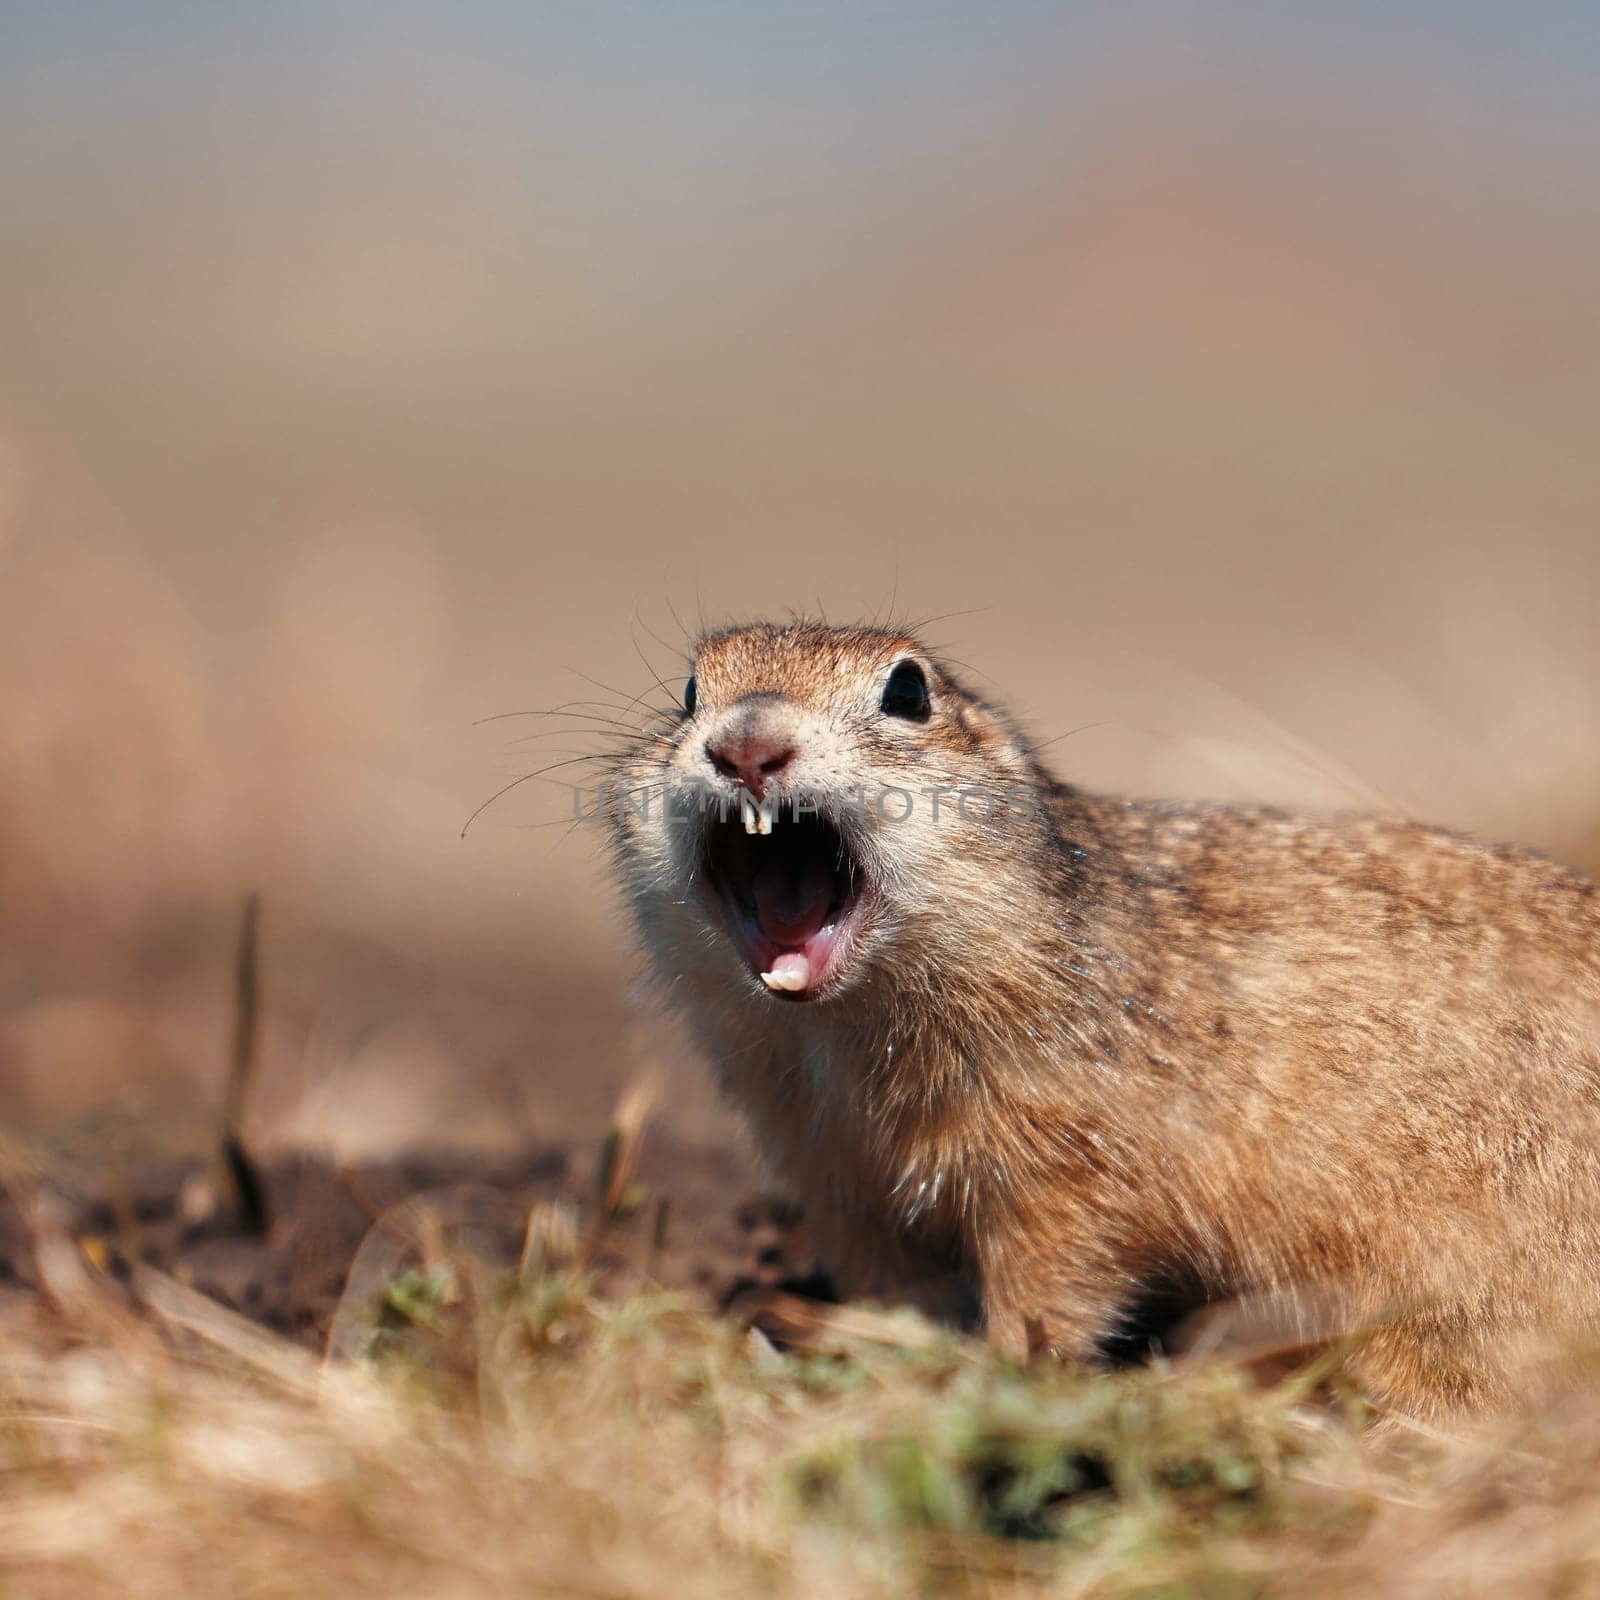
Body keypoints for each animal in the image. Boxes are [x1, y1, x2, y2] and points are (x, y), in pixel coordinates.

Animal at [601, 624, 1600, 1414]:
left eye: (908, 690)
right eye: (689, 691)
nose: (746, 746)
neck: (837, 1037)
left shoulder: (1064, 1156)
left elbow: (1057, 1274)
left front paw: (999, 1367)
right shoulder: (829, 1163)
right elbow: (890, 1274)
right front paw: (860, 1336)